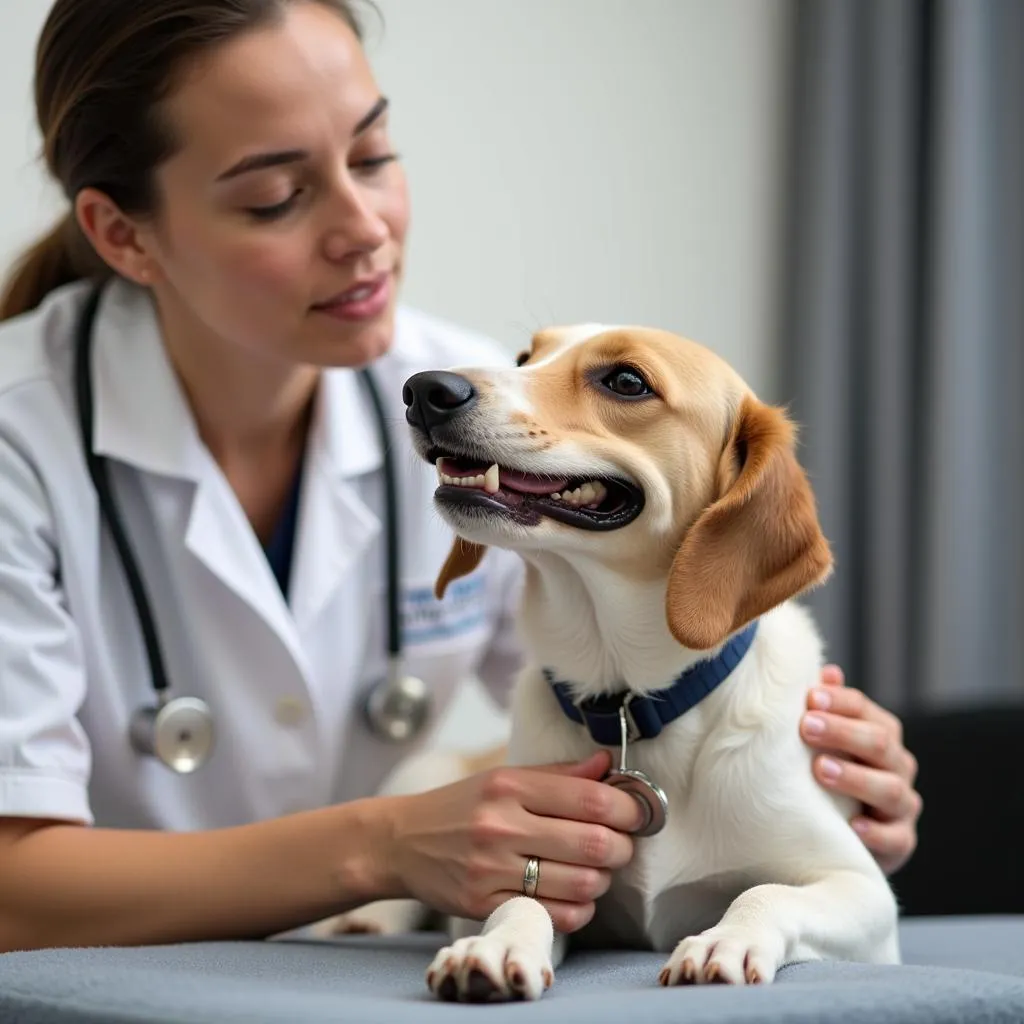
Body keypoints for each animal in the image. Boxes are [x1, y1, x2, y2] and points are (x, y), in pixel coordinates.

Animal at [323, 325, 901, 999]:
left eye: (627, 381)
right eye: (525, 358)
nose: (424, 389)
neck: (628, 698)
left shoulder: (860, 888)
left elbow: (766, 893)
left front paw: (724, 940)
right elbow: (521, 901)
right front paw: (493, 948)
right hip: (423, 771)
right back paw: (364, 918)